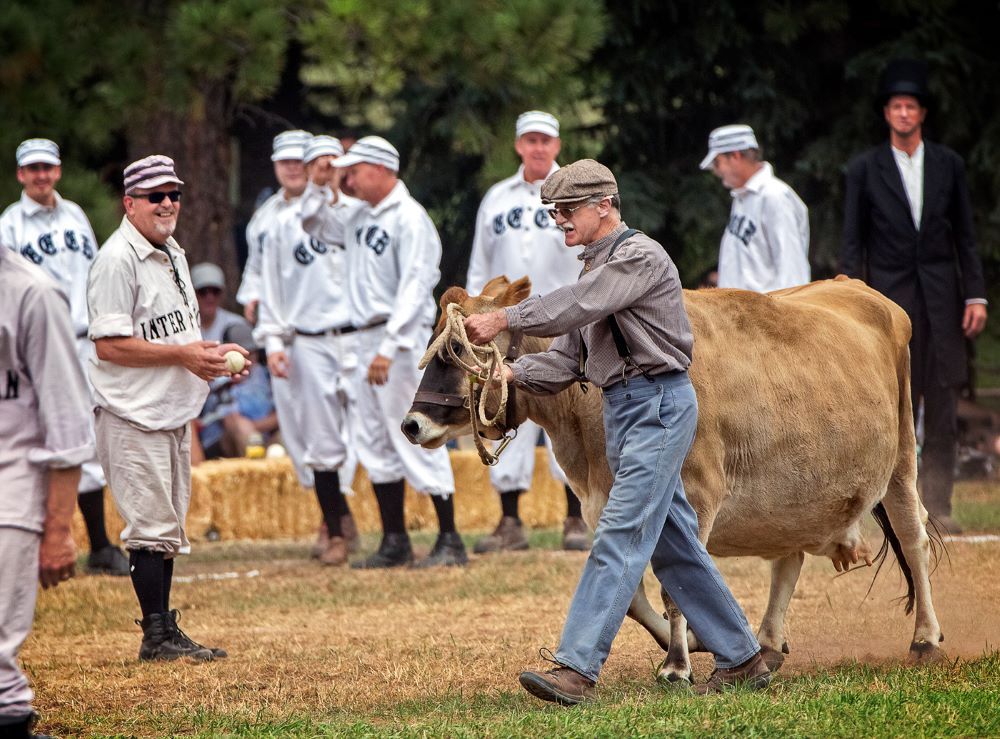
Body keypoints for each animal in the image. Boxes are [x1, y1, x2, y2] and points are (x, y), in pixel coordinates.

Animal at [402, 276, 940, 684]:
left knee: (913, 539)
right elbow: (635, 595)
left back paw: (925, 639)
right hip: (794, 493)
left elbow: (672, 587)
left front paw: (678, 665)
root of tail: (858, 287)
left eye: (458, 350)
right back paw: (766, 643)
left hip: (901, 460)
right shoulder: (606, 505)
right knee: (788, 558)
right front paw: (694, 643)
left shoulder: (695, 498)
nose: (411, 424)